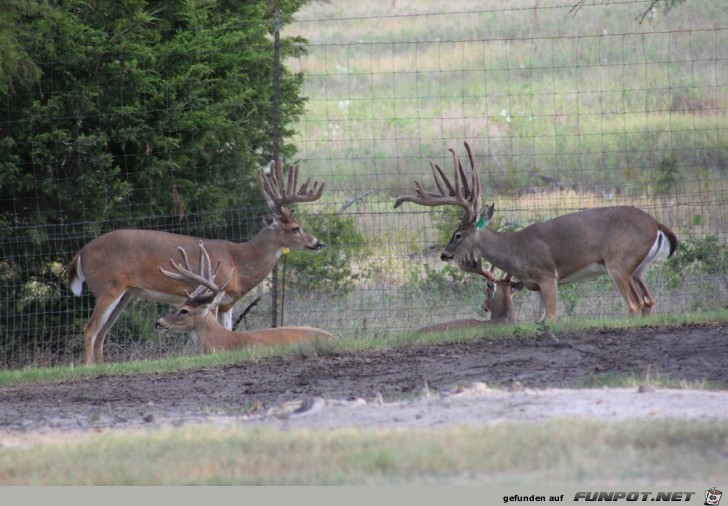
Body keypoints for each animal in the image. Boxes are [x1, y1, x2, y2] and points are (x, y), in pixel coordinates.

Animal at [396, 142, 680, 322]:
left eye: (458, 235)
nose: (444, 254)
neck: (515, 249)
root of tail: (657, 225)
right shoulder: (534, 287)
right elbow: (537, 318)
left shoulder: (548, 275)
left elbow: (552, 317)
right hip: (638, 269)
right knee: (649, 301)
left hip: (618, 263)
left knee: (635, 304)